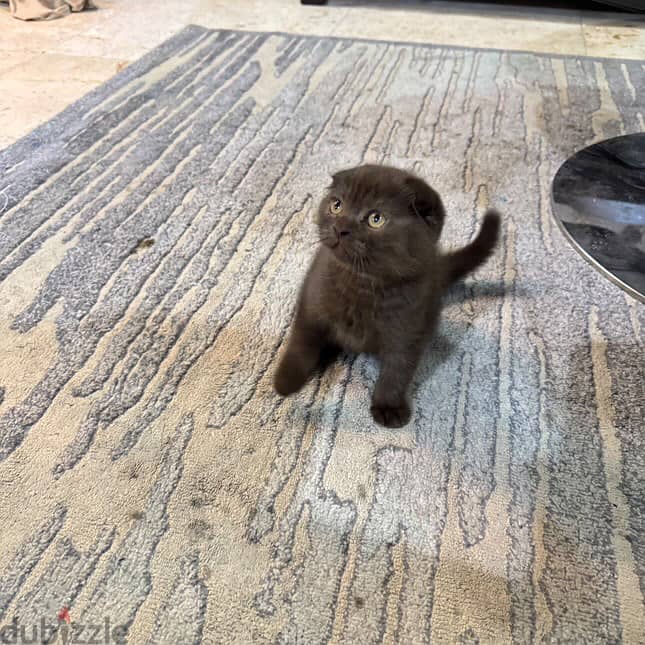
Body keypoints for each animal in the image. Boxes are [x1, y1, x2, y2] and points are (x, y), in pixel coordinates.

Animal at [272, 165, 498, 428]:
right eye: (336, 205)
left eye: (376, 219)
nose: (340, 228)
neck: (362, 285)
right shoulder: (312, 300)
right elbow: (301, 342)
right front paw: (286, 380)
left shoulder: (410, 327)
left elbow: (397, 369)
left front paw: (388, 407)